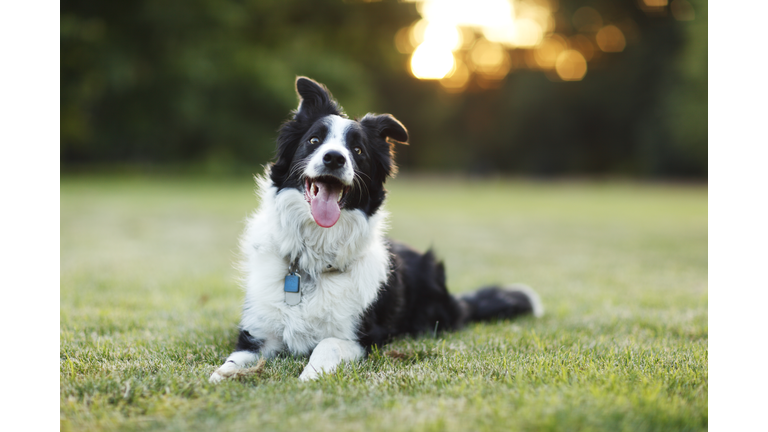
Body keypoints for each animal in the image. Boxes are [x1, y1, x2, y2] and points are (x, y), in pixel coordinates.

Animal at [210, 77, 540, 382]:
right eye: (314, 141)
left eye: (357, 150)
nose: (334, 158)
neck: (313, 262)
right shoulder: (257, 333)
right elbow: (235, 359)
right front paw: (222, 376)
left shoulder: (364, 338)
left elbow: (328, 343)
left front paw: (309, 376)